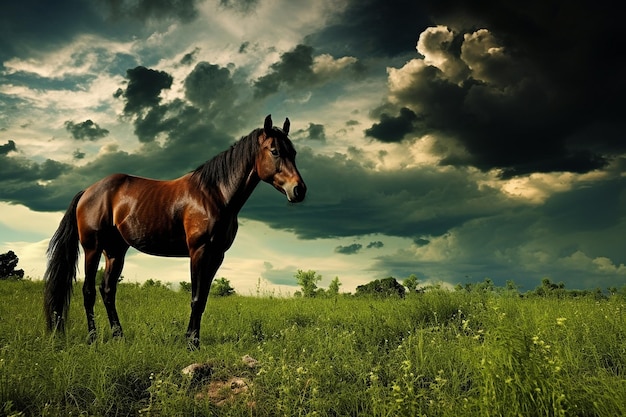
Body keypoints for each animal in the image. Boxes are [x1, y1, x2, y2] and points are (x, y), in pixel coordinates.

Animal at [42, 115, 306, 346]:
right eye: (275, 151)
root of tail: (88, 191)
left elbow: (203, 298)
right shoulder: (199, 251)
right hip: (92, 248)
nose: (299, 190)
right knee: (88, 292)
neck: (214, 194)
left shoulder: (216, 255)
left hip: (115, 252)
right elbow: (196, 298)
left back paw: (119, 337)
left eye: (293, 153)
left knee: (107, 291)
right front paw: (191, 343)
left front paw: (193, 339)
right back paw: (93, 339)